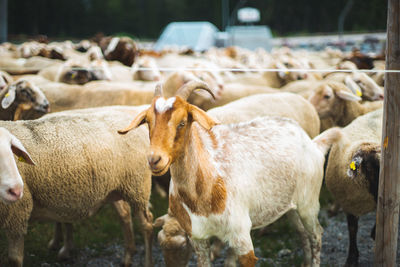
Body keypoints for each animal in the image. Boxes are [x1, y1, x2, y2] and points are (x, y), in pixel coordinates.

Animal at [0, 106, 154, 267]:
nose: (16, 189)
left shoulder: (17, 213)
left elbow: (15, 258)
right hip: (117, 188)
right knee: (124, 215)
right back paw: (128, 256)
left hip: (137, 185)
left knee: (147, 224)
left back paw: (147, 261)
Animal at [117, 82, 340, 267]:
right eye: (148, 122)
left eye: (182, 122)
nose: (155, 159)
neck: (203, 190)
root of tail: (313, 143)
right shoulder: (198, 238)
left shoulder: (242, 236)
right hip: (289, 205)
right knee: (302, 233)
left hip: (309, 203)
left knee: (316, 235)